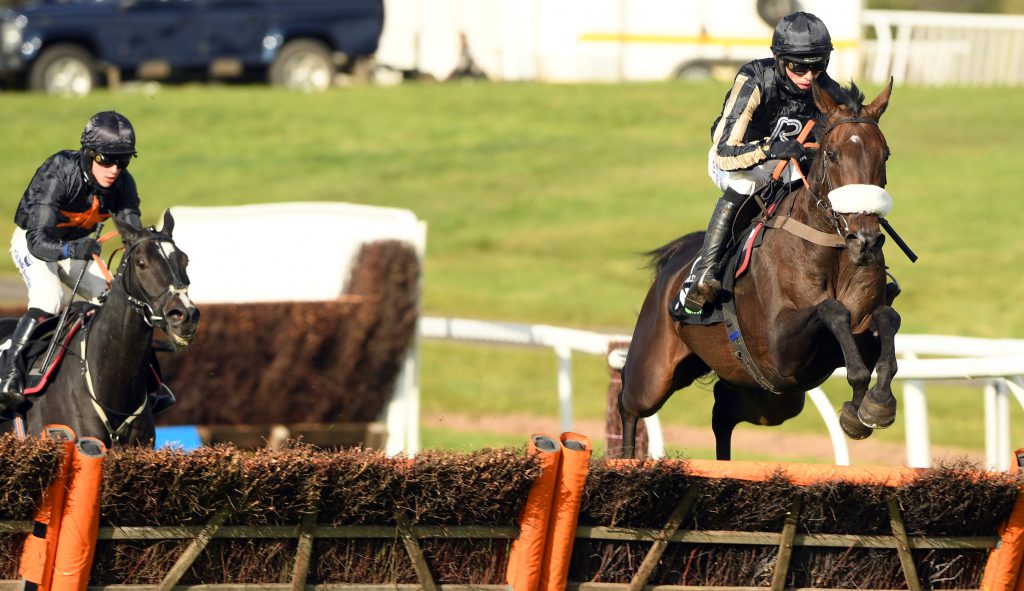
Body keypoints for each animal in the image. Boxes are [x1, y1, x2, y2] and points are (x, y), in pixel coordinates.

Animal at [614, 80, 897, 460]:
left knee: (723, 411)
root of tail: (676, 258)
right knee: (629, 403)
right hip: (654, 370)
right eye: (833, 154)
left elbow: (886, 318)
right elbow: (832, 310)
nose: (864, 240)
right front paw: (861, 401)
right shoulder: (781, 345)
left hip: (771, 395)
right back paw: (625, 458)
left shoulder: (833, 346)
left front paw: (871, 406)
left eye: (884, 154)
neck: (833, 253)